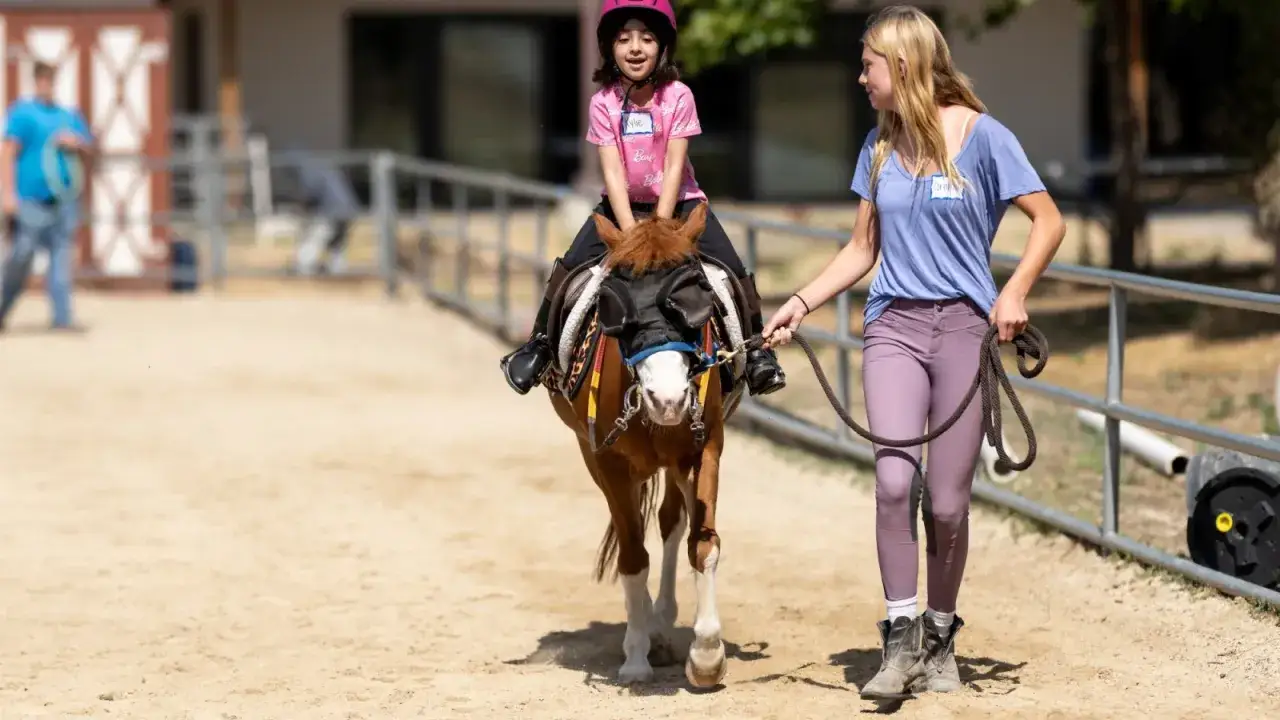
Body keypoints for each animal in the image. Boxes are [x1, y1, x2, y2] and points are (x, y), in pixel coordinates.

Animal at [539, 203, 750, 688]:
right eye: (617, 306)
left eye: (694, 300)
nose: (667, 399)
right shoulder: (607, 460)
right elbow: (633, 556)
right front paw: (635, 658)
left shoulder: (703, 450)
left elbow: (702, 544)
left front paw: (706, 656)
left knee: (670, 521)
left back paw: (662, 623)